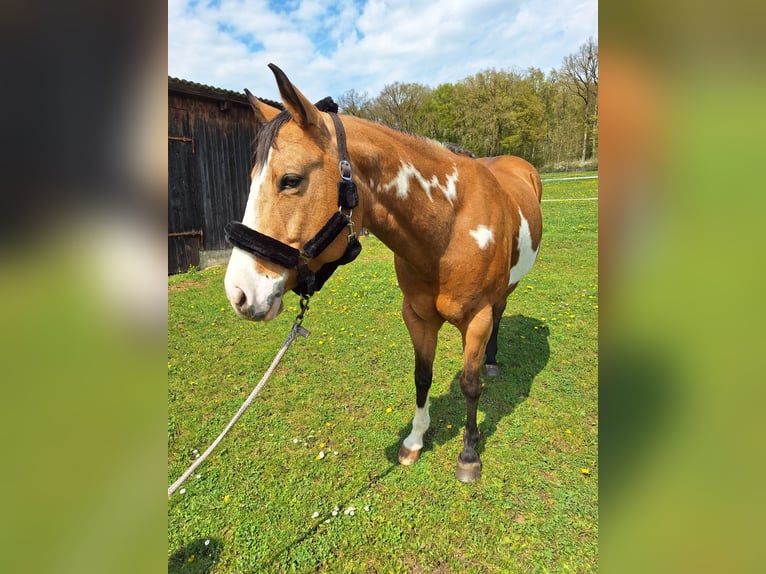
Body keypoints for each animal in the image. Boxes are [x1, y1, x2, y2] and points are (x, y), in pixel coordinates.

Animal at [224, 64, 542, 482]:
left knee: (500, 315)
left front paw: (469, 455)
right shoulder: (418, 316)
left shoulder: (477, 318)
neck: (449, 227)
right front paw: (415, 441)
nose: (239, 292)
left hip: (501, 295)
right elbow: (422, 375)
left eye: (290, 180)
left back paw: (490, 362)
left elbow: (469, 385)